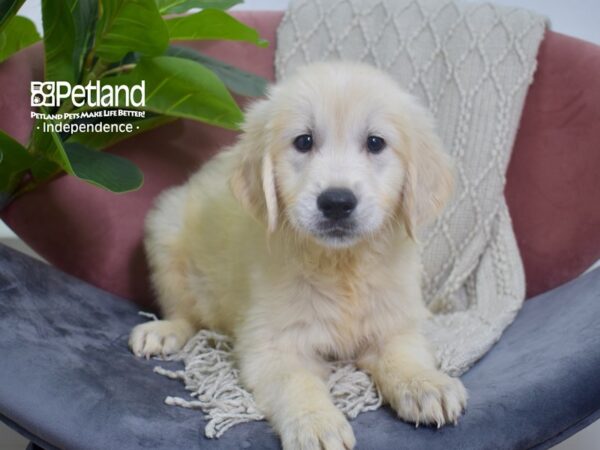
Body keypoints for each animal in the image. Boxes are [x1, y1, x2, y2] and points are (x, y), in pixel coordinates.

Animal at [130, 60, 464, 450]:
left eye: (375, 143)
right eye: (304, 141)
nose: (337, 202)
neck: (341, 264)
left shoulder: (396, 322)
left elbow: (404, 356)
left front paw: (427, 385)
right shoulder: (273, 344)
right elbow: (297, 383)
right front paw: (316, 423)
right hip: (166, 233)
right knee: (184, 311)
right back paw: (162, 331)